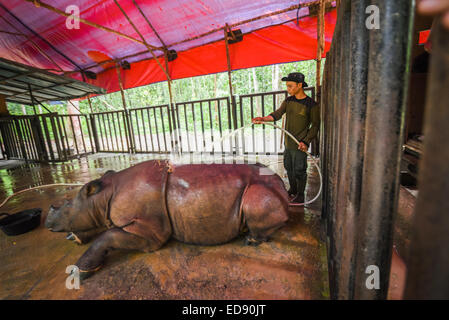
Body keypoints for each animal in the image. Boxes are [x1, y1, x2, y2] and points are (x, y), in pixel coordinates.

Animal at [44, 161, 288, 278]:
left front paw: (79, 271)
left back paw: (252, 240)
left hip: (261, 187)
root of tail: (283, 184)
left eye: (65, 205)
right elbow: (104, 228)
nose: (47, 219)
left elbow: (109, 235)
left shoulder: (151, 233)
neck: (102, 197)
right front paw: (73, 238)